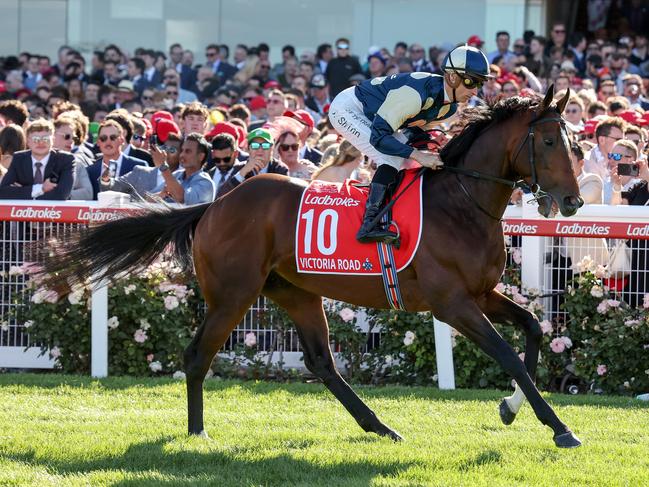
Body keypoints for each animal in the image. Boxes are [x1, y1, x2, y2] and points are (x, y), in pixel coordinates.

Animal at [43, 86, 584, 450]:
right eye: (550, 143)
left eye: (576, 143)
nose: (574, 201)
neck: (461, 203)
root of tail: (216, 204)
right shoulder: (451, 303)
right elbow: (509, 354)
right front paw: (560, 428)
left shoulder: (480, 293)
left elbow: (533, 329)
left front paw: (511, 408)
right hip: (233, 294)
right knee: (197, 357)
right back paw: (197, 434)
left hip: (296, 291)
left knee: (322, 362)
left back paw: (380, 426)